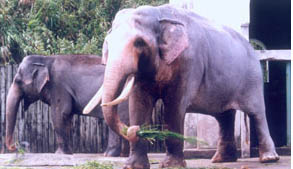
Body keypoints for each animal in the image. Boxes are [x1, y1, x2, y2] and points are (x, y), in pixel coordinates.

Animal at [85, 3, 280, 169]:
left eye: (139, 43)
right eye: (108, 43)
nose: (134, 129)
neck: (159, 14)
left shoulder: (188, 62)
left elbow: (174, 106)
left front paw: (171, 165)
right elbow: (139, 105)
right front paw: (133, 166)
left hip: (252, 78)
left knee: (256, 113)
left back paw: (268, 159)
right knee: (224, 116)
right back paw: (220, 160)